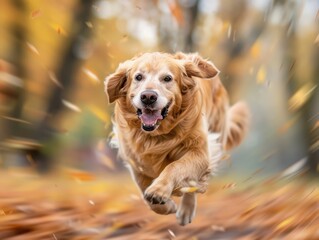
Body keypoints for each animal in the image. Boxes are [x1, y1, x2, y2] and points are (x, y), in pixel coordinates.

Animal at [105, 52, 250, 225]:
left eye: (167, 78)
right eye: (138, 77)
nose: (148, 96)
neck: (156, 136)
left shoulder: (201, 152)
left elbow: (175, 167)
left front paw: (158, 190)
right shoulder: (136, 162)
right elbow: (143, 188)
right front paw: (165, 206)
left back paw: (186, 211)